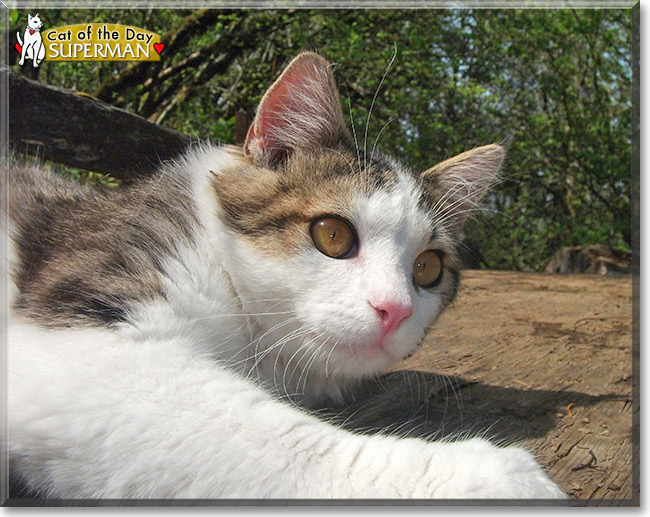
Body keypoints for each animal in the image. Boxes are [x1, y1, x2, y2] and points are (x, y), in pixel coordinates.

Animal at [5, 50, 564, 498]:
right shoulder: (83, 332)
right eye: (333, 235)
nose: (395, 309)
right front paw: (492, 477)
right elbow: (280, 440)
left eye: (427, 268)